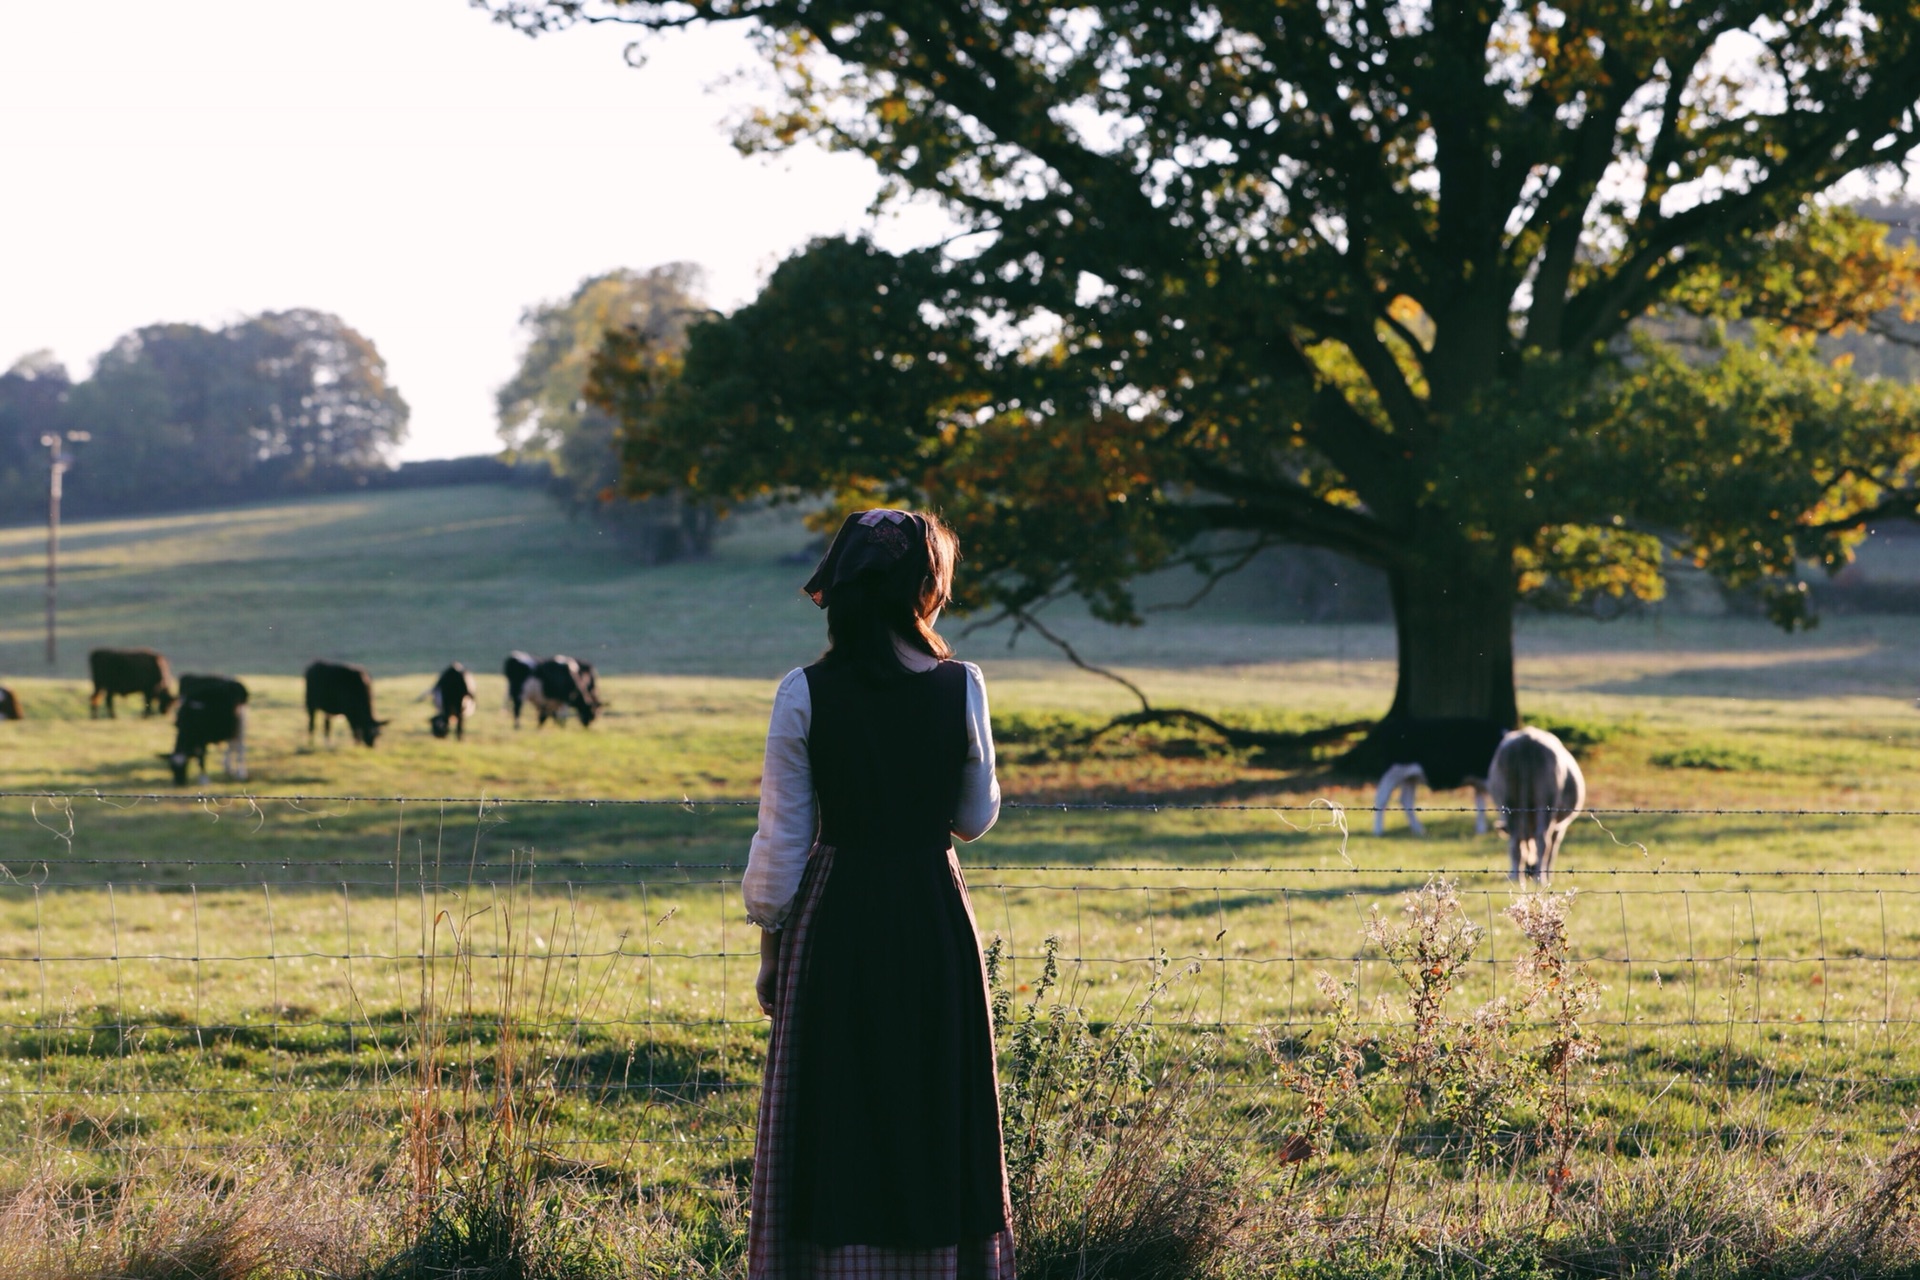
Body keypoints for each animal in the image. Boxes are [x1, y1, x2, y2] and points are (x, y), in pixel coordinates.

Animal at [1367, 717, 1512, 836]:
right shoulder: (1489, 781)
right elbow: (1497, 804)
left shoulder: (1479, 782)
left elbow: (1481, 803)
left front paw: (1481, 830)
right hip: (1393, 772)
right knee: (1382, 797)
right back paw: (1378, 831)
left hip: (1409, 777)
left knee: (1405, 799)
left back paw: (1418, 830)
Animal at [1482, 725, 1589, 886]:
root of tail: (1527, 739)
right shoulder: (1560, 828)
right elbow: (1552, 850)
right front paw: (1549, 875)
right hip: (1546, 803)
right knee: (1543, 842)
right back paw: (1540, 878)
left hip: (1508, 802)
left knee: (1515, 842)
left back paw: (1517, 878)